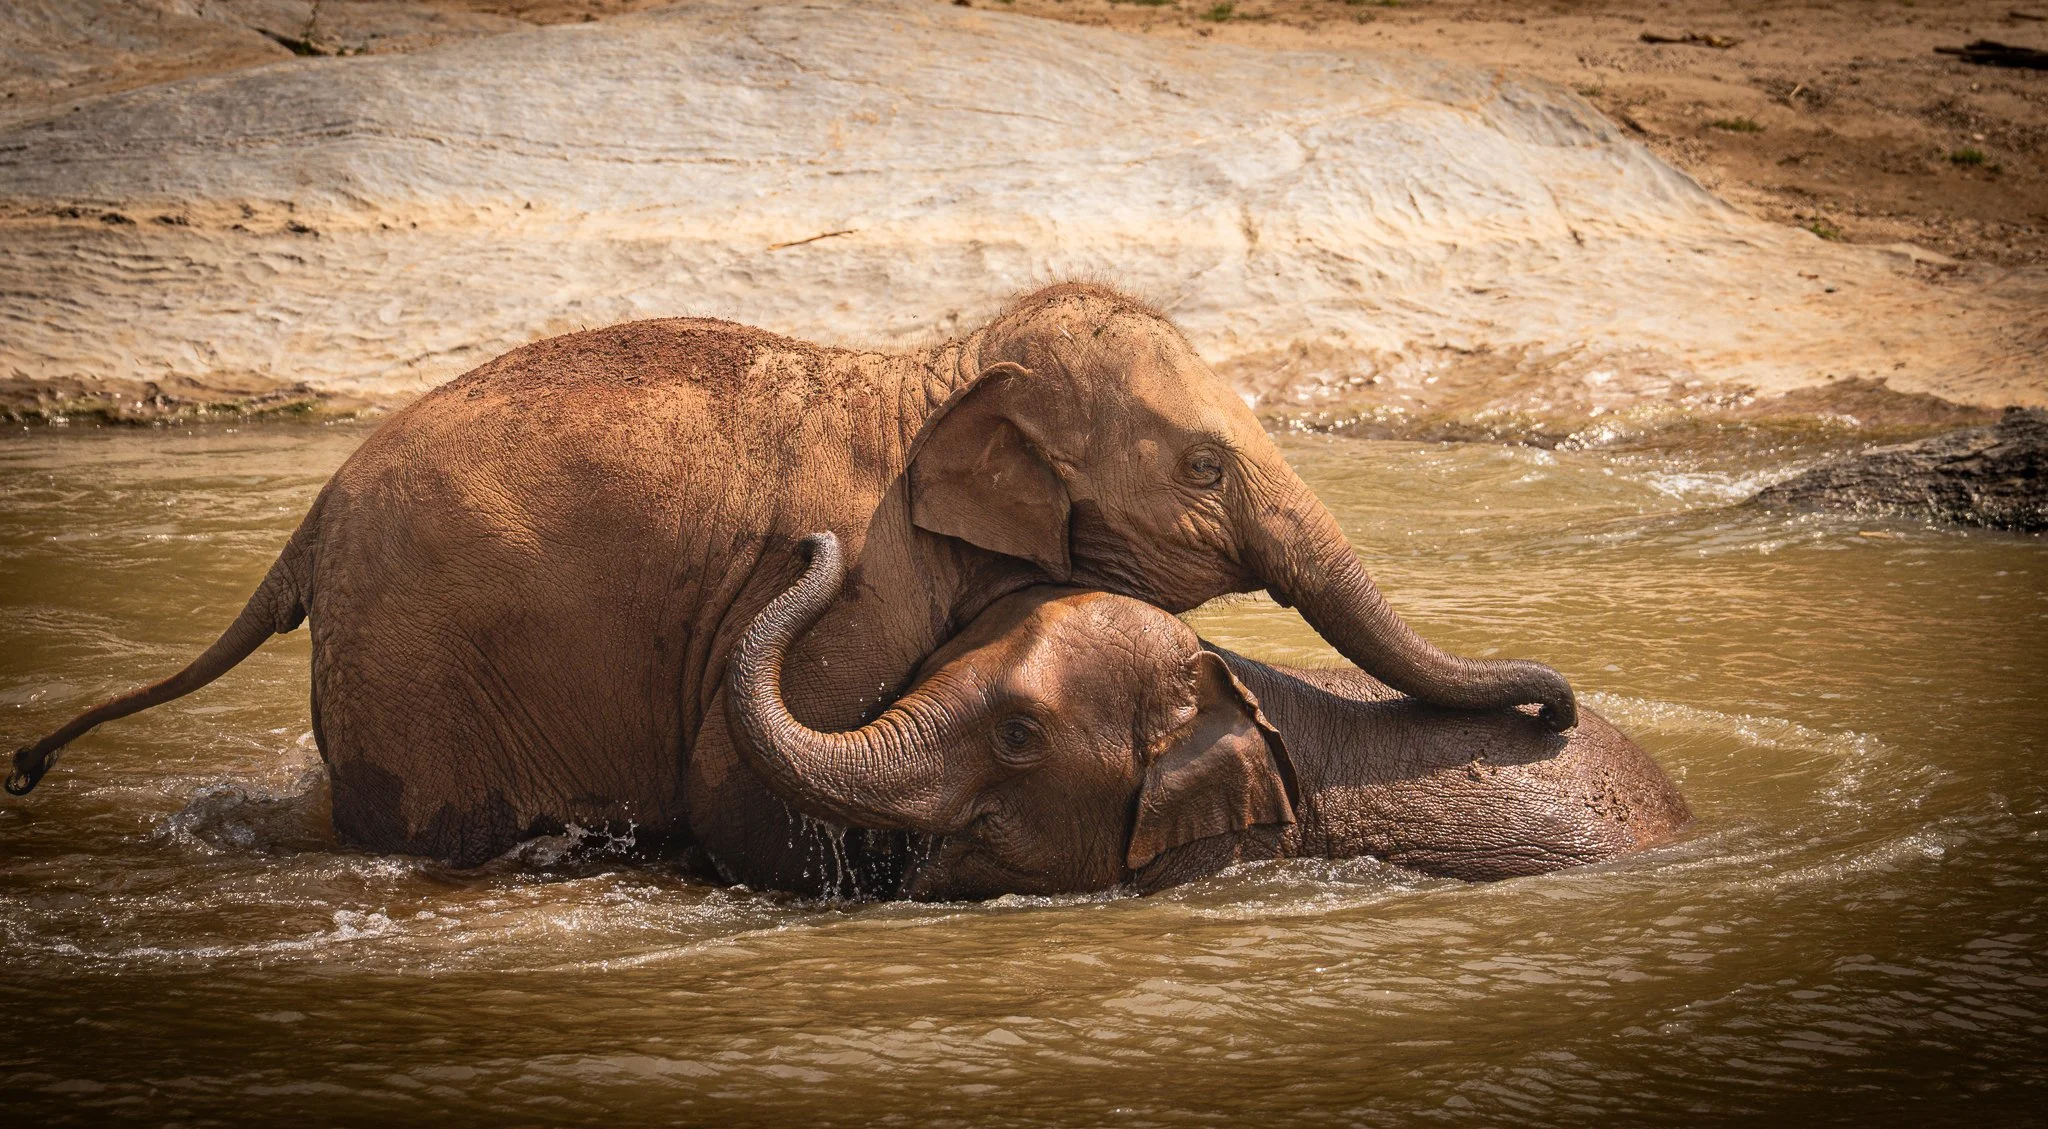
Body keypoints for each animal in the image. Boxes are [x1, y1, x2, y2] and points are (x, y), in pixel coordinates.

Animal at [9, 283, 1574, 873]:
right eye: (1202, 468)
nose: (1553, 707)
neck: (942, 366)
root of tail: (312, 520)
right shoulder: (862, 579)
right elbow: (739, 788)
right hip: (418, 658)